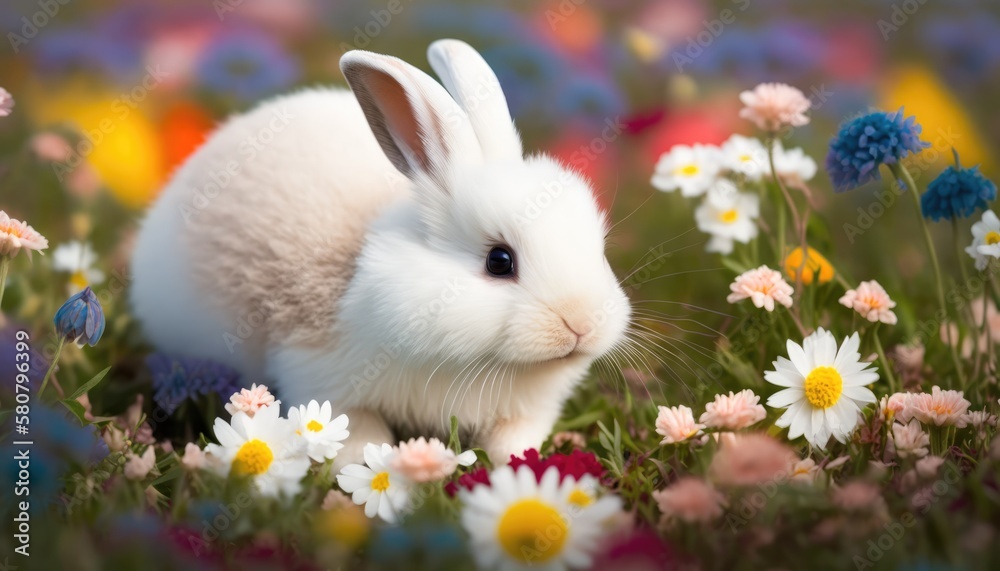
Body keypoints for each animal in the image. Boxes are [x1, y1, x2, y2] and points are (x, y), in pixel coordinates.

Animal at [130, 39, 631, 465]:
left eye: (598, 248)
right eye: (499, 261)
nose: (582, 324)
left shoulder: (526, 414)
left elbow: (513, 443)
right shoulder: (325, 380)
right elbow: (359, 439)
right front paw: (381, 468)